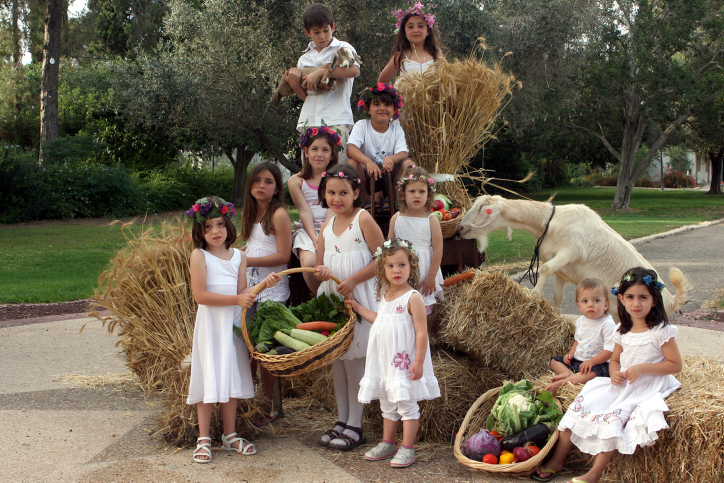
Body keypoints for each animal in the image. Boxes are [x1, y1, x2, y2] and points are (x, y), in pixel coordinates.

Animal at [458, 195, 692, 316]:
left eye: (482, 208)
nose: (460, 228)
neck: (549, 222)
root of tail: (671, 299)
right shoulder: (561, 269)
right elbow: (557, 295)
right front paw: (555, 314)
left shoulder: (571, 251)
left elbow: (544, 269)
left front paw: (533, 294)